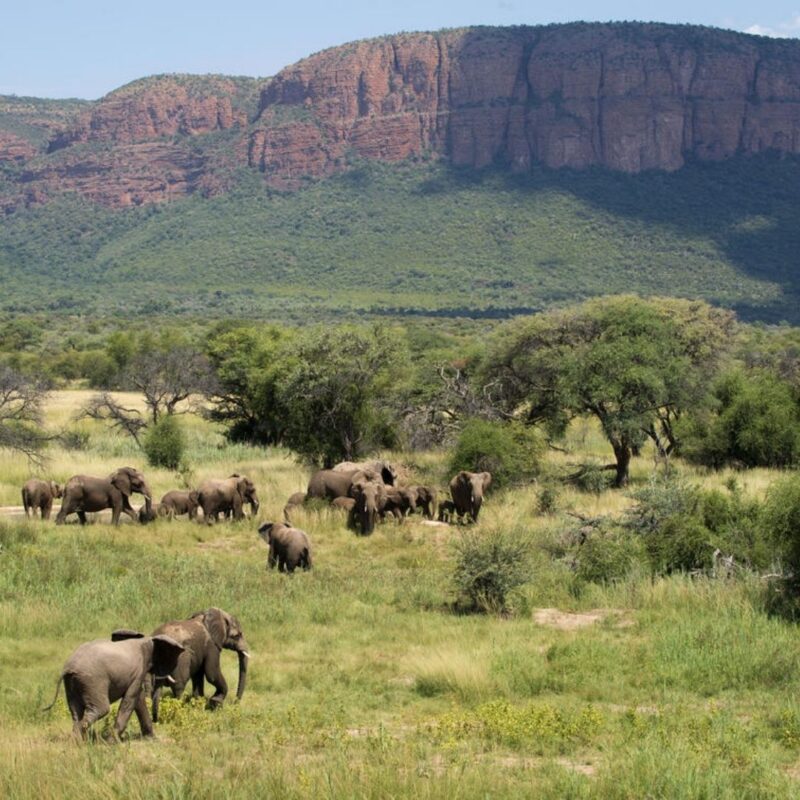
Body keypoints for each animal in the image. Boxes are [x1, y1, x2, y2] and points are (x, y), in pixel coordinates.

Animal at [43, 632, 184, 741]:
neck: (147, 641)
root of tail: (69, 667)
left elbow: (138, 700)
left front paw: (152, 739)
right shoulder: (139, 671)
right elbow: (130, 700)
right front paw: (112, 742)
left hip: (72, 682)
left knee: (75, 711)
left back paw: (76, 741)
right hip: (93, 681)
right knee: (101, 709)